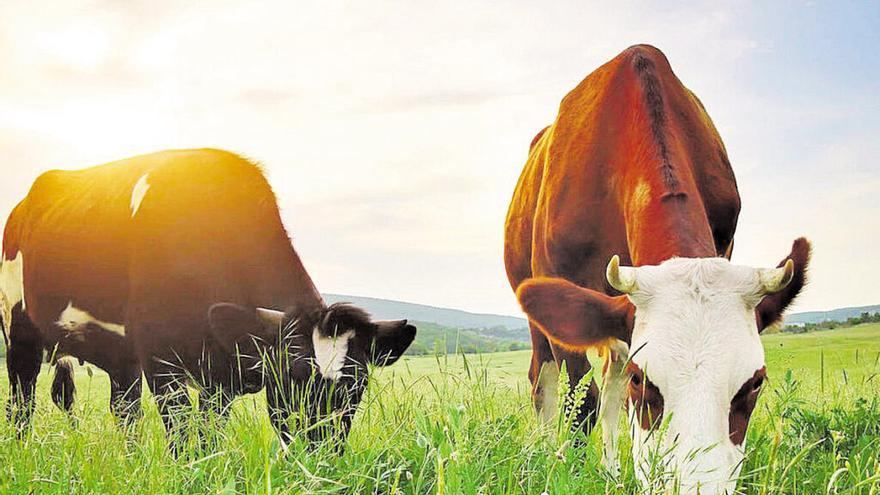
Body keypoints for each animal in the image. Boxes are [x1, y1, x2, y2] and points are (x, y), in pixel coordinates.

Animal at [0, 148, 416, 450]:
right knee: (22, 399)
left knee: (123, 410)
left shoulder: (220, 377)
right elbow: (183, 436)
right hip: (19, 327)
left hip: (119, 355)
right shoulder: (161, 360)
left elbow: (208, 436)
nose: (321, 456)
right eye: (292, 379)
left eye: (356, 388)